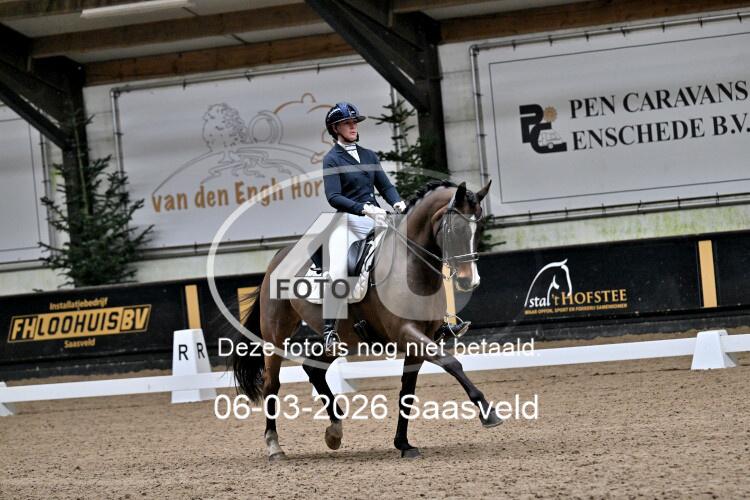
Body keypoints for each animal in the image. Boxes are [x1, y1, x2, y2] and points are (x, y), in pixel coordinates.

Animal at [232, 179, 502, 460]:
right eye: (456, 228)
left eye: (479, 228)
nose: (470, 281)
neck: (408, 264)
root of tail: (278, 257)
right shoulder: (407, 333)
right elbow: (452, 363)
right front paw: (488, 413)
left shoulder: (419, 341)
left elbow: (407, 391)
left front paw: (403, 444)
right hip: (275, 337)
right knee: (271, 385)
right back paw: (275, 446)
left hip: (344, 340)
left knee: (314, 368)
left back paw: (335, 431)